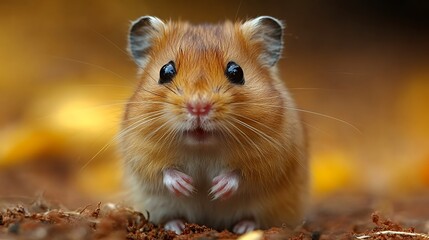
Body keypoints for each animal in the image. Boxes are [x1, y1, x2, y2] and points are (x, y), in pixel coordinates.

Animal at [118, 15, 308, 234]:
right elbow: (163, 171)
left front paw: (216, 189)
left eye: (236, 72)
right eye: (165, 71)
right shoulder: (141, 151)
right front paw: (187, 186)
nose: (198, 107)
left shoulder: (272, 157)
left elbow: (241, 174)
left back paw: (243, 228)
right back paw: (176, 226)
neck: (203, 147)